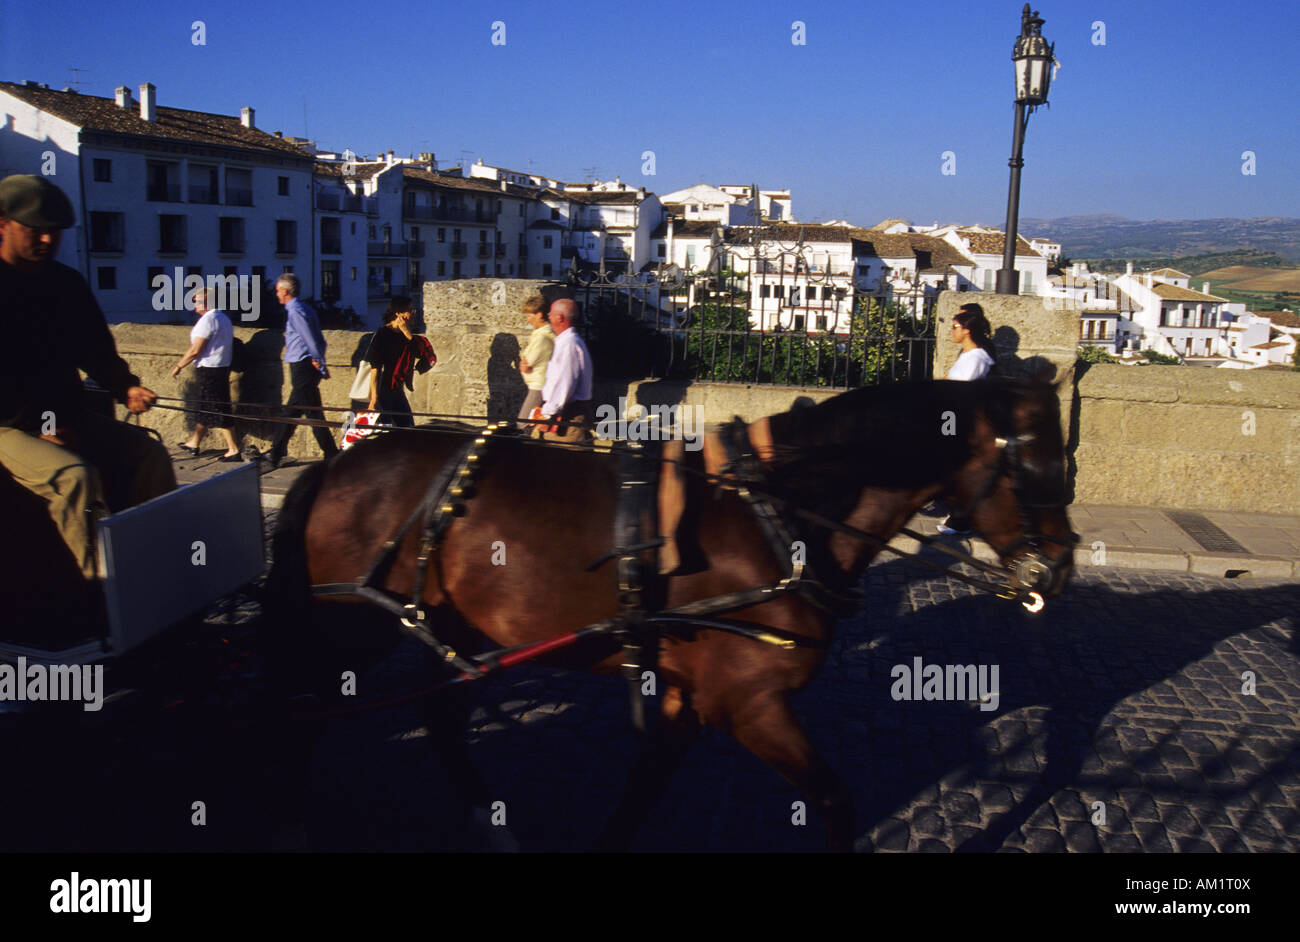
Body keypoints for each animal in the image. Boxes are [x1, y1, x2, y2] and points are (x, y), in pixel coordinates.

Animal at [261, 376, 1076, 852]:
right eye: (1041, 469)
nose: (1062, 568)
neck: (783, 515)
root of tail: (335, 465)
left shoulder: (690, 696)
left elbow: (644, 788)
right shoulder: (748, 703)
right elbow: (836, 803)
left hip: (452, 625)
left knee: (437, 719)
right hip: (352, 626)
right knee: (302, 707)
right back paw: (294, 816)